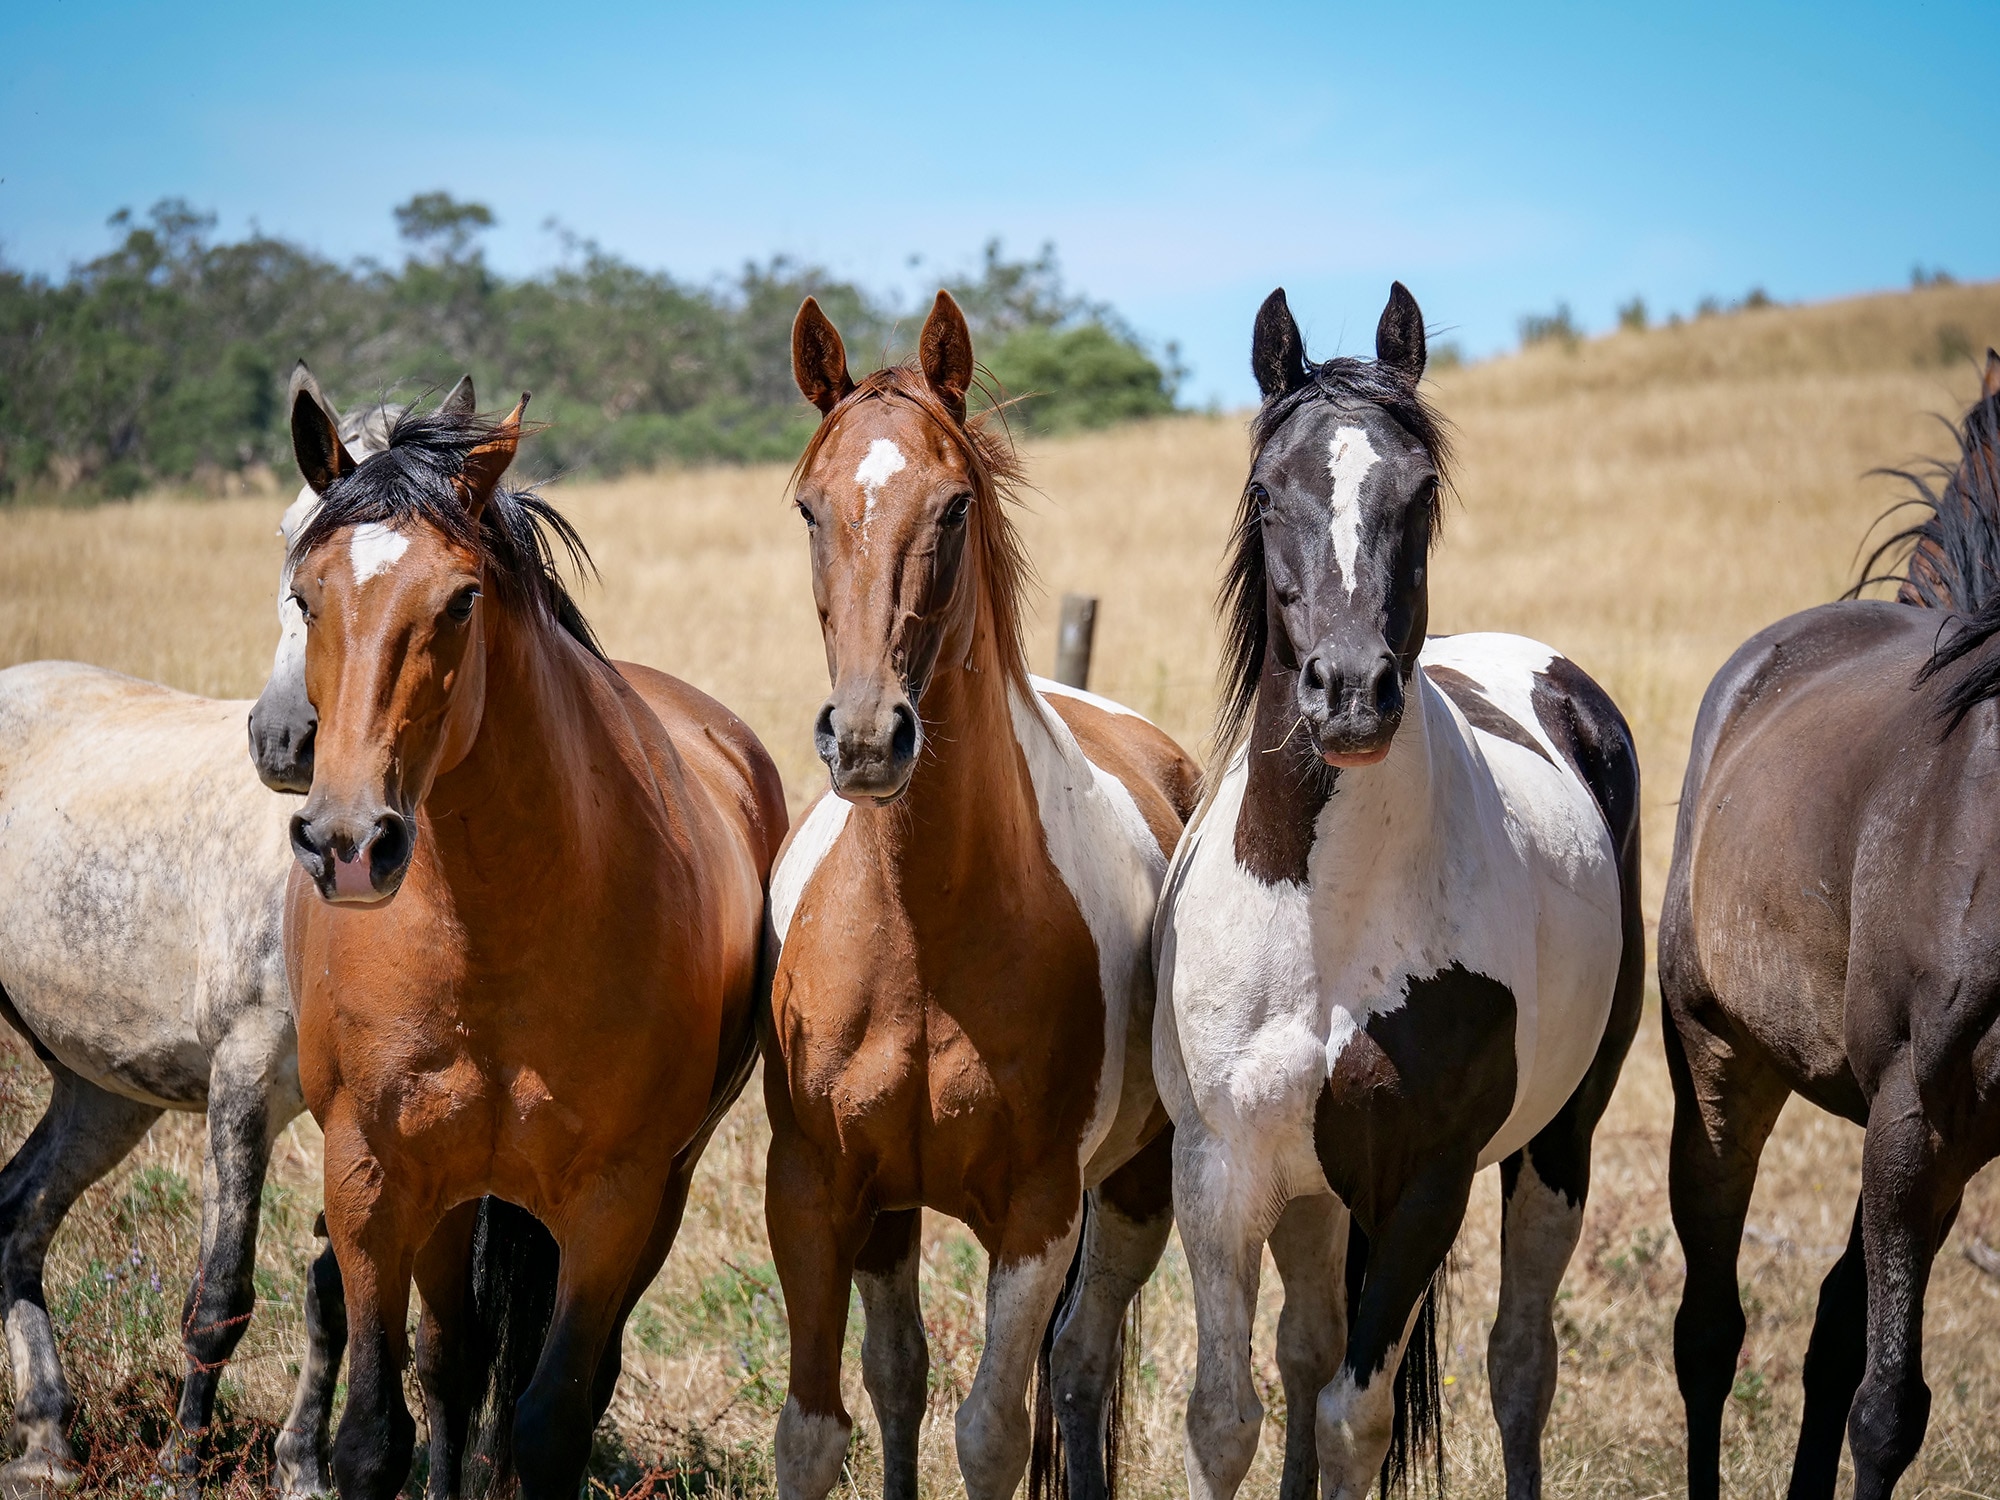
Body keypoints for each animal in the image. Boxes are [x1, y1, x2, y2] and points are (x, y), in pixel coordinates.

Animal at [0, 363, 424, 1499]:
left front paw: (305, 1469)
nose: (288, 741)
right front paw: (185, 1466)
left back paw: (48, 1437)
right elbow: (221, 1294)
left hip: (99, 1087)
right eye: (288, 538)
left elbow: (336, 1296)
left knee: (17, 1214)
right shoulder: (242, 1081)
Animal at [280, 392, 785, 1500]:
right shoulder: (370, 1176)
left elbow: (551, 1421)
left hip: (652, 1199)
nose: (347, 842)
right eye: (304, 594)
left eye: (461, 601)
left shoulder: (613, 1201)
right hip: (449, 1201)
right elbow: (375, 1430)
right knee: (453, 1364)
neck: (492, 929)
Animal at [763, 290, 1199, 1500]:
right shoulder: (817, 1190)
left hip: (1137, 1190)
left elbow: (994, 1432)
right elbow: (820, 1428)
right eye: (809, 508)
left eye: (953, 506)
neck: (922, 932)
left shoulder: (1036, 1213)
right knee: (902, 1372)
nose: (868, 736)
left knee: (1081, 1367)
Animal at [1153, 285, 1644, 1500]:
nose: (1348, 693)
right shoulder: (1221, 1174)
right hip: (1316, 1193)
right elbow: (1226, 1415)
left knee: (1518, 1361)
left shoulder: (1425, 1184)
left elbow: (1353, 1421)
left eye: (1418, 491)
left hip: (1557, 1142)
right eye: (1264, 490)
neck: (1324, 914)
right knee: (1307, 1349)